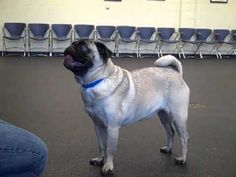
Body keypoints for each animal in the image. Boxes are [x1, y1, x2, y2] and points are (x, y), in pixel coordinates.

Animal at [63, 39, 190, 176]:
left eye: (82, 47)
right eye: (73, 43)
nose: (70, 47)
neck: (96, 81)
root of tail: (176, 73)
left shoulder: (112, 127)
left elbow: (110, 149)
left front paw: (108, 166)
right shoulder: (98, 126)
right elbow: (102, 146)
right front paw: (100, 160)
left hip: (178, 116)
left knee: (184, 137)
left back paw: (182, 159)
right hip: (163, 115)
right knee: (170, 132)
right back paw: (168, 149)